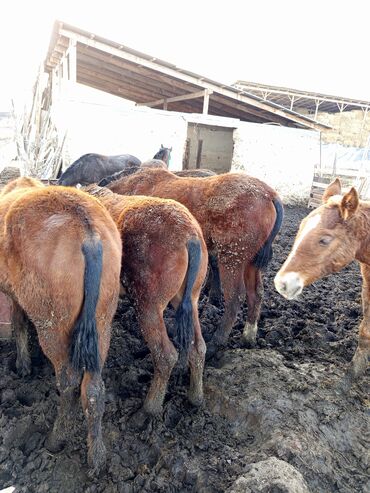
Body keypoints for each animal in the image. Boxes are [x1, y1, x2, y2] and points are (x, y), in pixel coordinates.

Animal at [0, 177, 121, 472]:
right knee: (93, 389)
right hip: (101, 325)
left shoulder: (16, 296)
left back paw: (56, 438)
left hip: (53, 327)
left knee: (68, 381)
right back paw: (97, 455)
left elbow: (18, 323)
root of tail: (86, 228)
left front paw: (22, 364)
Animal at [85, 183, 210, 414]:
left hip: (148, 304)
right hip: (191, 300)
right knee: (198, 347)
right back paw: (195, 397)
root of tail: (190, 235)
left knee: (165, 355)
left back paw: (150, 407)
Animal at [106, 167, 284, 352]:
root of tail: (270, 194)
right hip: (251, 262)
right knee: (256, 293)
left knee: (236, 297)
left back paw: (217, 341)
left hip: (232, 258)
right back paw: (248, 337)